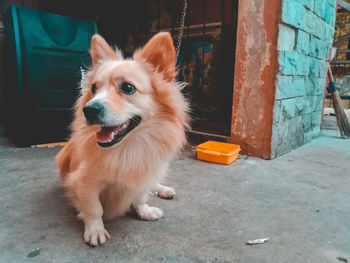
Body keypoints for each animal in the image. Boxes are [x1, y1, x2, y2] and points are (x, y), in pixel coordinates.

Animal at [55, 32, 189, 248]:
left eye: (127, 88)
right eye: (94, 88)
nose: (89, 110)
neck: (127, 147)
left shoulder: (143, 175)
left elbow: (140, 197)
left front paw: (144, 211)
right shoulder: (84, 182)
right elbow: (94, 208)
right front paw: (95, 230)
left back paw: (163, 189)